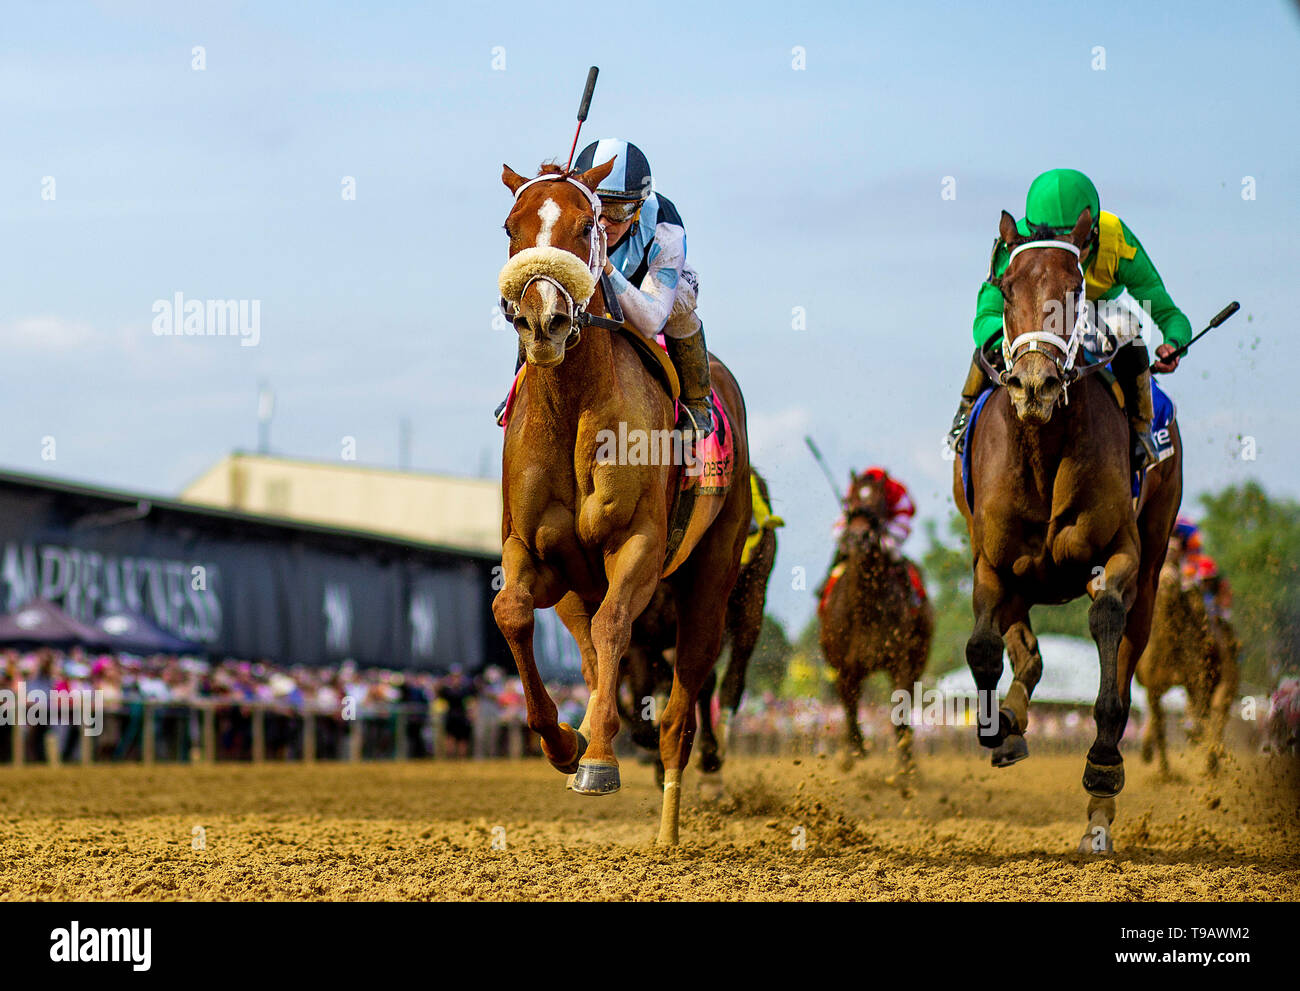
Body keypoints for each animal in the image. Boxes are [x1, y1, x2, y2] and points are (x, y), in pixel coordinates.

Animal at [488, 159, 754, 842]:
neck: (572, 406)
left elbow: (615, 625)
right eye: (511, 226)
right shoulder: (533, 549)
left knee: (681, 712)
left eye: (587, 226)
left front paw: (600, 760)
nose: (543, 319)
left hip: (712, 577)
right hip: (578, 589)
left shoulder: (637, 543)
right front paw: (564, 742)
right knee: (588, 652)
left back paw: (669, 827)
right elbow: (512, 612)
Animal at [618, 468, 780, 790]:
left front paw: (705, 756)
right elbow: (646, 693)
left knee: (731, 680)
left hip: (751, 600)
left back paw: (712, 760)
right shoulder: (641, 634)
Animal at [821, 468, 935, 785]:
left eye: (879, 503)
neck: (866, 608)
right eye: (849, 502)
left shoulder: (901, 663)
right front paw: (853, 752)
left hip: (918, 658)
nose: (859, 537)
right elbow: (849, 709)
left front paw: (906, 771)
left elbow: (899, 714)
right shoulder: (844, 667)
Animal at [951, 206, 1185, 847]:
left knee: (1125, 656)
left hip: (1153, 570)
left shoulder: (1119, 553)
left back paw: (1099, 816)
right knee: (1027, 654)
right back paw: (1013, 717)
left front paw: (1102, 769)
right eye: (1007, 287)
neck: (1042, 446)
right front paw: (998, 725)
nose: (1035, 385)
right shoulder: (992, 560)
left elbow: (1107, 640)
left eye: (1076, 286)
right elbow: (983, 646)